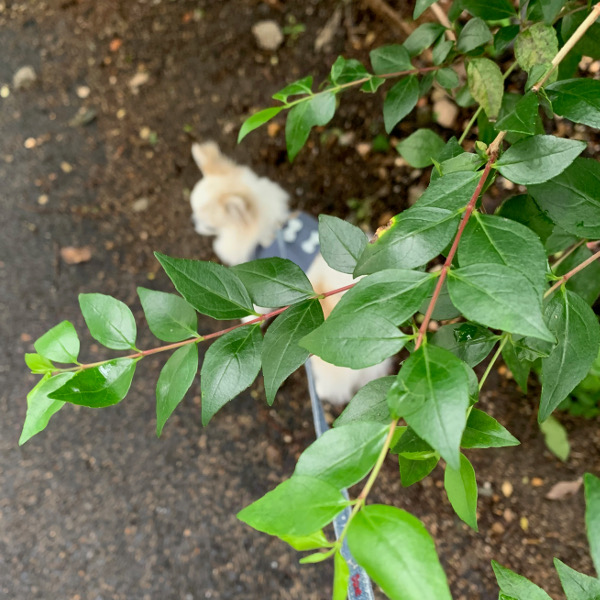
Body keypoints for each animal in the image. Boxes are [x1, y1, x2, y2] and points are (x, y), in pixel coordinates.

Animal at [190, 141, 392, 404]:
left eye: (207, 224)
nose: (194, 222)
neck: (270, 227)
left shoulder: (257, 283)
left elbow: (256, 307)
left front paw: (248, 318)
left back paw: (321, 391)